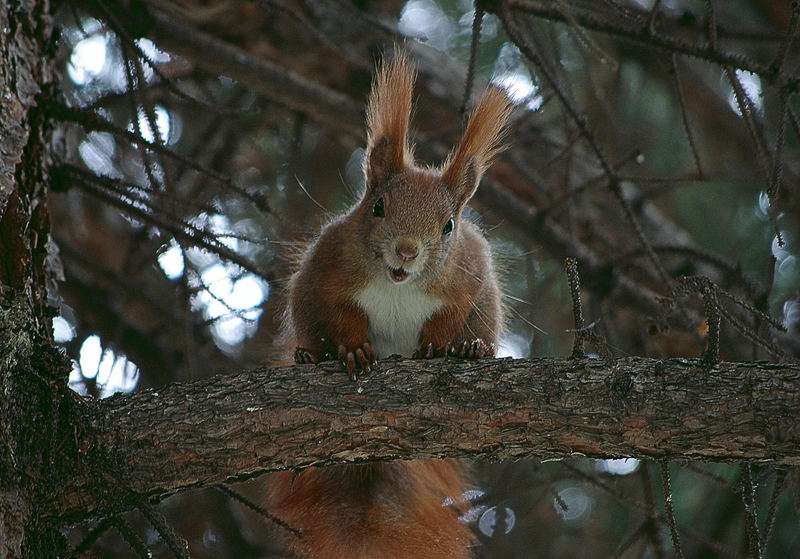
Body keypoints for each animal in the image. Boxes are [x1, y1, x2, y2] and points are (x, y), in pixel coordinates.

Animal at [268, 53, 512, 559]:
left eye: (448, 225)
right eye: (377, 207)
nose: (406, 251)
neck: (398, 284)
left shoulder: (466, 280)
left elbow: (450, 316)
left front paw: (440, 346)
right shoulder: (328, 274)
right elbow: (342, 314)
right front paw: (353, 350)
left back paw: (473, 349)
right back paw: (309, 355)